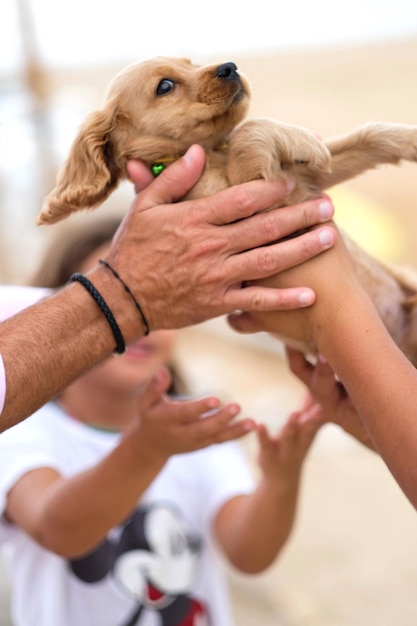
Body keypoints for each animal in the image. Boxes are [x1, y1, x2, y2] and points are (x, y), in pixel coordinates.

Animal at [39, 57, 417, 360]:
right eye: (165, 86)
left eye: (191, 62)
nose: (230, 67)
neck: (213, 153)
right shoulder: (245, 203)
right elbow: (248, 130)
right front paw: (298, 139)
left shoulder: (308, 177)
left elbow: (366, 138)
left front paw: (408, 139)